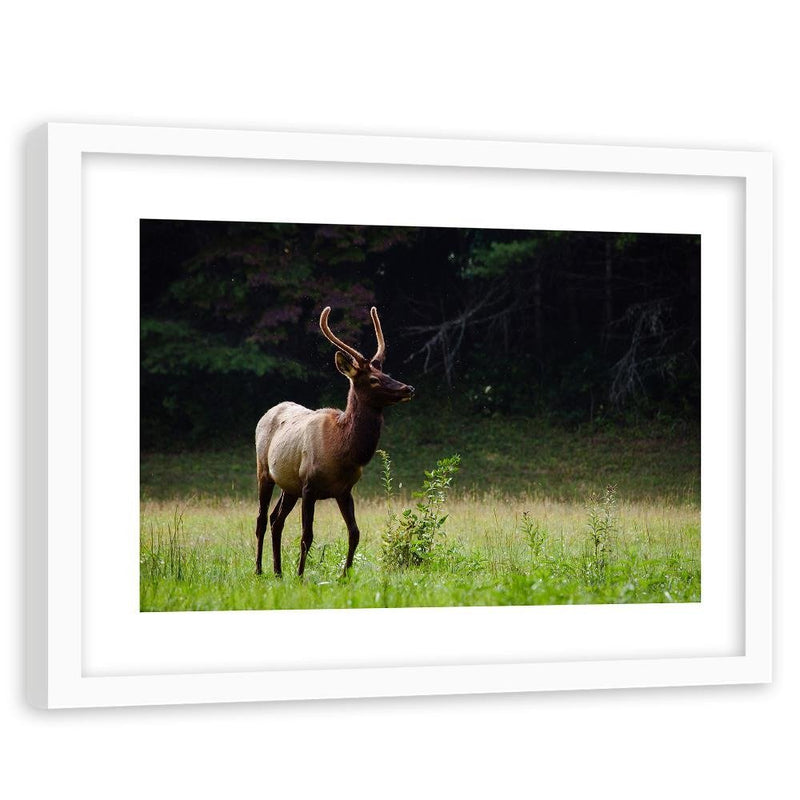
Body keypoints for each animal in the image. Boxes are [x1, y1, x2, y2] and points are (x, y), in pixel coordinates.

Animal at [253, 304, 416, 576]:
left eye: (385, 372)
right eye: (373, 379)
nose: (408, 388)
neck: (342, 450)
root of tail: (267, 412)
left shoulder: (344, 490)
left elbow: (355, 533)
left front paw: (345, 575)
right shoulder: (309, 485)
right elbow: (306, 536)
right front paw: (300, 576)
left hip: (289, 485)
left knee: (277, 519)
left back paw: (278, 571)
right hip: (264, 471)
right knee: (261, 519)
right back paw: (259, 570)